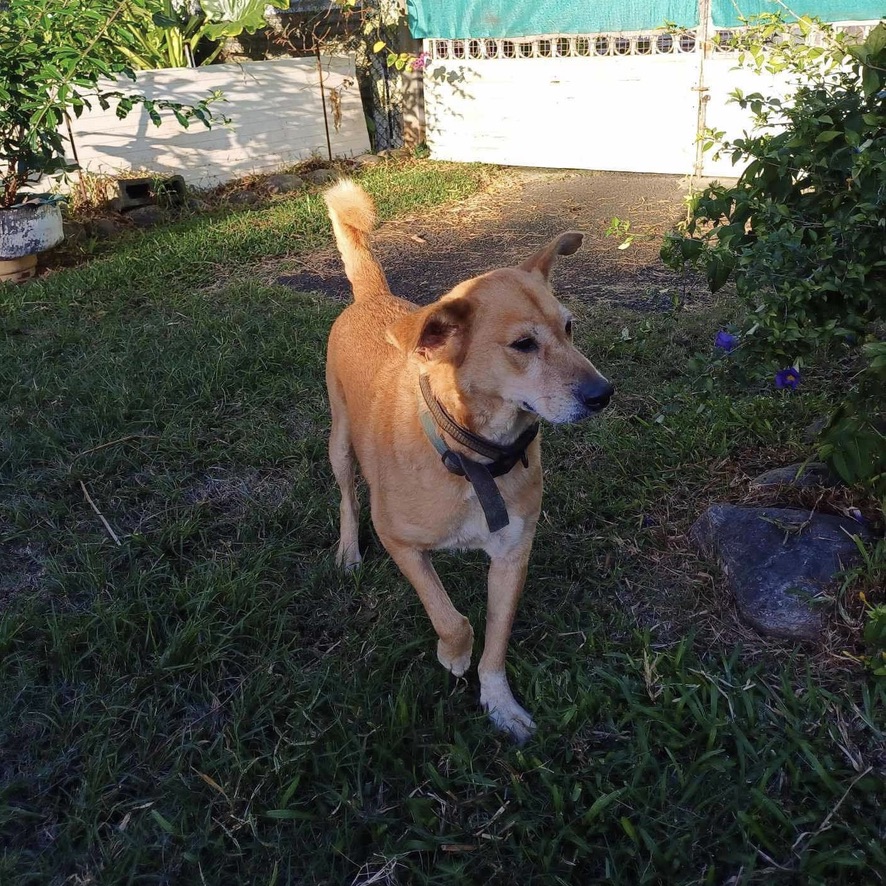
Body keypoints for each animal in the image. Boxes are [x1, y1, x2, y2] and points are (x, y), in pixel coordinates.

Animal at [322, 182, 612, 744]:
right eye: (523, 344)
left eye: (570, 328)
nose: (603, 394)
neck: (473, 457)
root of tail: (372, 298)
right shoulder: (399, 541)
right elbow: (450, 617)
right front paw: (453, 653)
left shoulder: (513, 555)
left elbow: (496, 644)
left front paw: (499, 703)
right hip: (339, 442)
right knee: (346, 494)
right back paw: (347, 549)